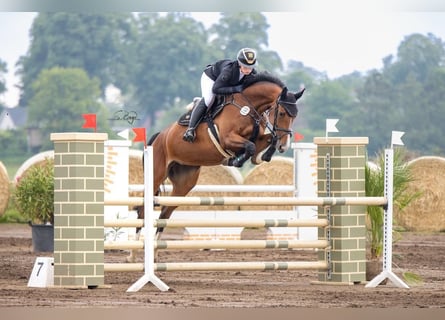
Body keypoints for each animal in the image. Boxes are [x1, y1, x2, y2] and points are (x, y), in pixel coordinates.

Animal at [126, 72, 304, 262]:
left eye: (295, 116)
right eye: (283, 113)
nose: (284, 147)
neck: (247, 106)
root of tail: (158, 137)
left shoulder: (257, 136)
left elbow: (263, 142)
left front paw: (264, 155)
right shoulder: (227, 138)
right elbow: (250, 146)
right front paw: (236, 160)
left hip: (184, 182)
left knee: (165, 213)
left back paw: (156, 253)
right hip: (156, 174)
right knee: (143, 211)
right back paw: (132, 254)